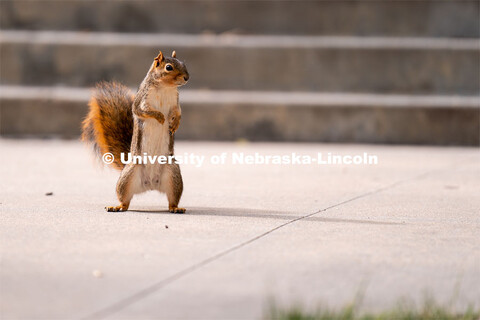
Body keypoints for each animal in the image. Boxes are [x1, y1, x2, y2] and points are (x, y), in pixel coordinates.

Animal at [81, 50, 188, 212]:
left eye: (183, 63)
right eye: (168, 67)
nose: (187, 78)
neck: (165, 87)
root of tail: (151, 184)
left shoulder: (176, 102)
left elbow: (179, 112)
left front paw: (176, 123)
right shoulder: (142, 99)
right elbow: (141, 111)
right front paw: (159, 116)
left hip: (173, 175)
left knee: (172, 199)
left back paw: (176, 208)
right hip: (128, 177)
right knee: (124, 200)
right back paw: (117, 206)